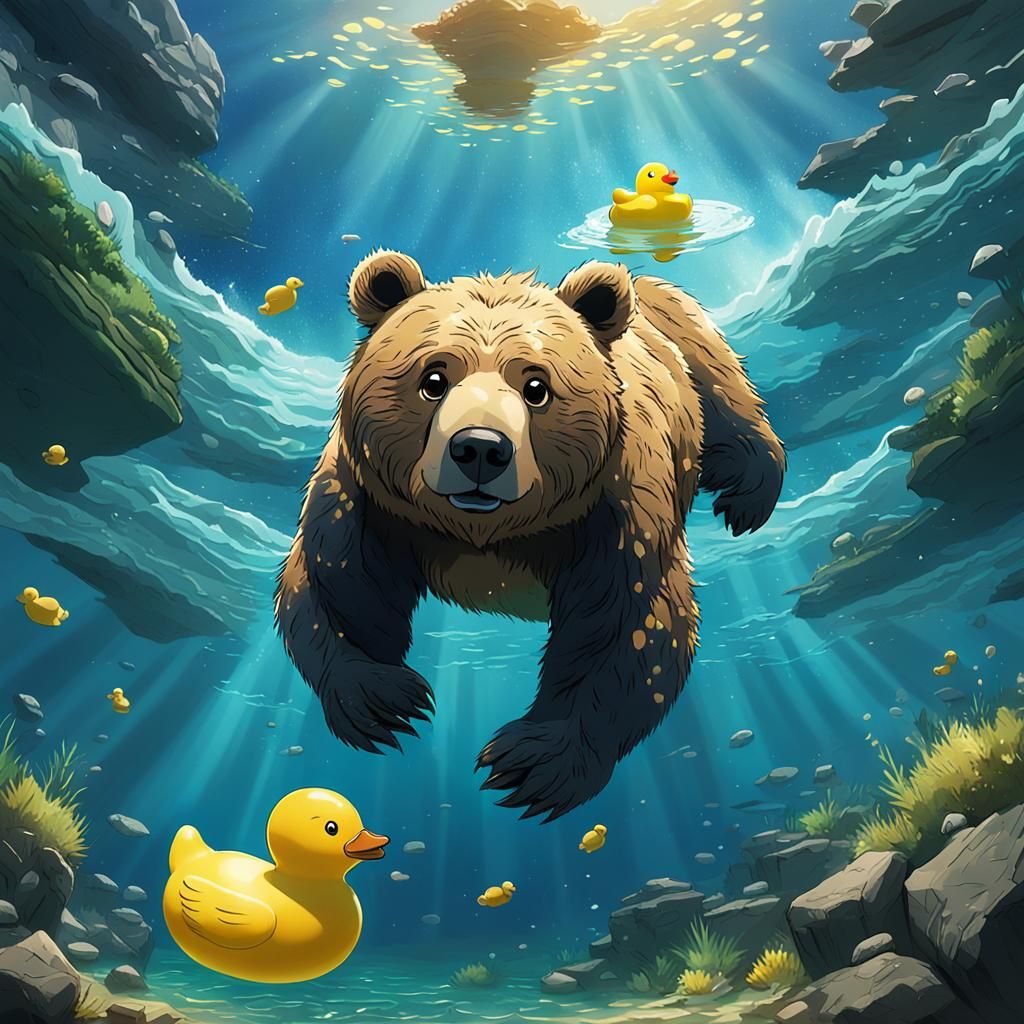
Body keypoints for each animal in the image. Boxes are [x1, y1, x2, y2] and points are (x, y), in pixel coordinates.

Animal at [275, 250, 785, 821]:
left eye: (536, 386)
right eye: (433, 377)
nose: (479, 449)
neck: (486, 531)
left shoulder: (615, 507)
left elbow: (627, 621)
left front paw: (533, 760)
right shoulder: (366, 498)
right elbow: (338, 583)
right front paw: (385, 699)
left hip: (685, 335)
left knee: (727, 391)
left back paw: (746, 494)